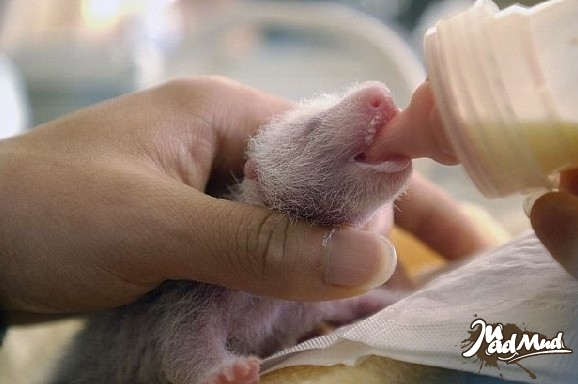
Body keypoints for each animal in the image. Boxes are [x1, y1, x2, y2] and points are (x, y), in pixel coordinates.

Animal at [49, 82, 410, 384]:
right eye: (314, 125)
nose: (379, 93)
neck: (273, 298)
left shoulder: (310, 301)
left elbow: (359, 301)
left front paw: (400, 297)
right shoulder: (195, 287)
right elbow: (181, 341)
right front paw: (225, 372)